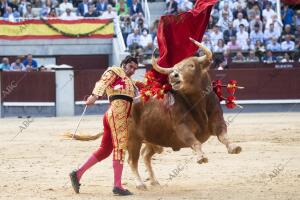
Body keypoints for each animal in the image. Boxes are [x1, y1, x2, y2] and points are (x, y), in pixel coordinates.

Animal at [126, 38, 241, 190]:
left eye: (191, 65)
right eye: (174, 68)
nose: (173, 75)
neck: (198, 104)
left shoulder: (218, 121)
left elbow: (223, 135)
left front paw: (234, 147)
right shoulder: (181, 128)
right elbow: (194, 141)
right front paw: (201, 157)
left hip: (153, 139)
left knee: (145, 155)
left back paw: (154, 181)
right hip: (133, 139)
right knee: (132, 161)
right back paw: (140, 184)